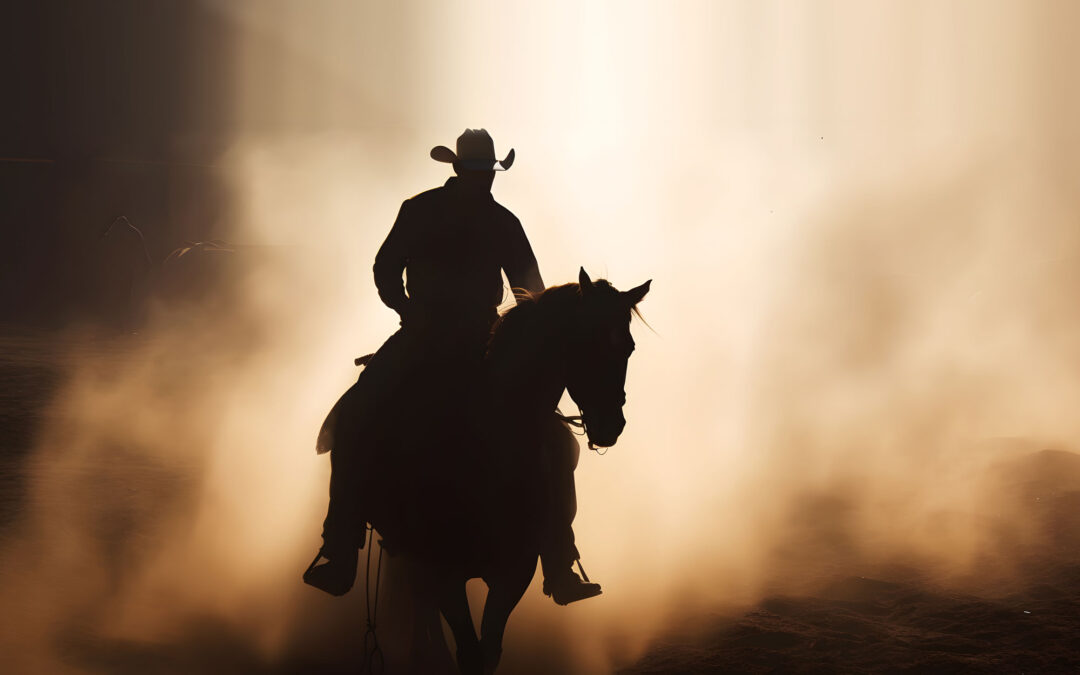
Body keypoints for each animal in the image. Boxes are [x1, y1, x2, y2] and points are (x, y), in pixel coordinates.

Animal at [328, 268, 648, 673]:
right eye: (586, 343)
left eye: (628, 348)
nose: (610, 425)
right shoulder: (443, 571)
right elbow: (468, 652)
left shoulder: (515, 570)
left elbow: (489, 651)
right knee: (420, 600)